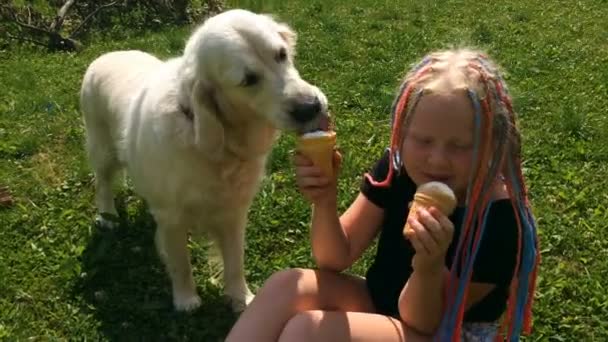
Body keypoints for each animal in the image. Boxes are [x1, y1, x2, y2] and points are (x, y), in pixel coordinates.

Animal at [80, 8, 330, 312]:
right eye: (248, 80)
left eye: (281, 54)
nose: (311, 107)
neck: (217, 144)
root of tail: (105, 55)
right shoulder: (172, 217)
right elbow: (180, 263)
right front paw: (186, 299)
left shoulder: (234, 212)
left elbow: (234, 262)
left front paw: (241, 298)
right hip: (103, 149)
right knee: (102, 183)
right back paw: (108, 216)